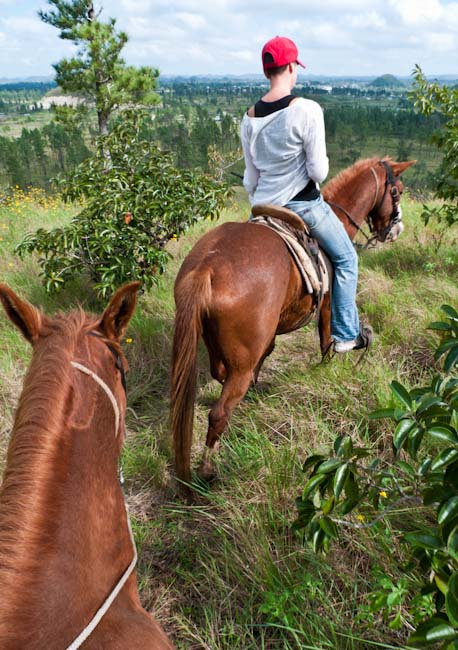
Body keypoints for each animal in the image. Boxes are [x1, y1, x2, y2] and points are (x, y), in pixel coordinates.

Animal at [172, 157, 416, 484]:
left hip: (215, 344)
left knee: (222, 376)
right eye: (397, 190)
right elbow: (326, 341)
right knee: (219, 412)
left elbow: (269, 351)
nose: (396, 230)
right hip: (239, 361)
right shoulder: (328, 300)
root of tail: (207, 267)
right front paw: (335, 360)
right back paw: (208, 469)